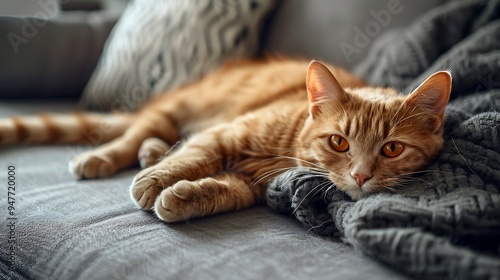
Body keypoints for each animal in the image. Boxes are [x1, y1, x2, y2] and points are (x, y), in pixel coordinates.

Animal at [0, 59, 452, 223]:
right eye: (339, 143)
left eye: (391, 149)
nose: (360, 176)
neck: (285, 150)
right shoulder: (224, 134)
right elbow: (194, 156)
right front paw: (154, 183)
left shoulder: (249, 183)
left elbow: (221, 190)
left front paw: (181, 198)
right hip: (174, 109)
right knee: (132, 136)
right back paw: (108, 158)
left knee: (155, 138)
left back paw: (150, 153)